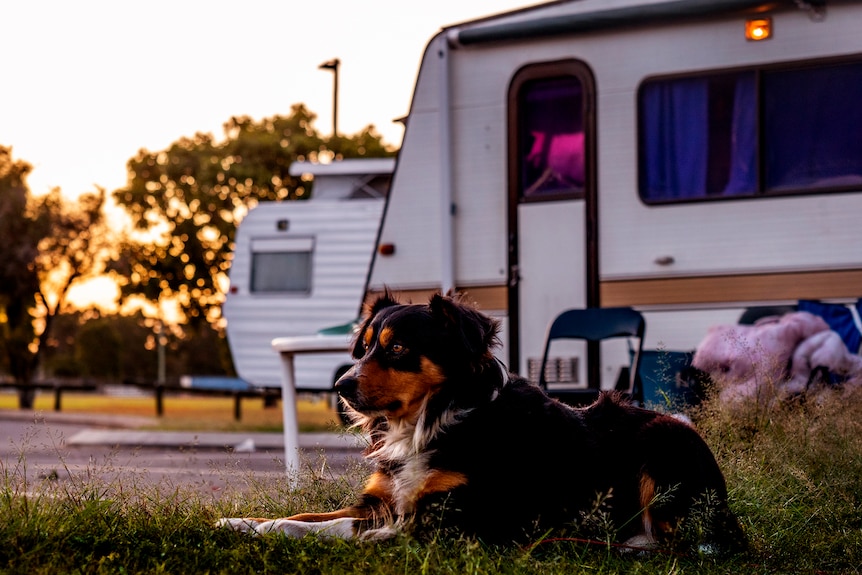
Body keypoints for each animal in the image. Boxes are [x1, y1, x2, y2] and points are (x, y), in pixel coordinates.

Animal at [218, 294, 748, 552]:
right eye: (364, 346)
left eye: (397, 347)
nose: (341, 386)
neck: (435, 418)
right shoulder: (386, 498)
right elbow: (307, 517)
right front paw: (245, 523)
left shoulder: (459, 513)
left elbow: (343, 529)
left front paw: (373, 537)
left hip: (664, 447)